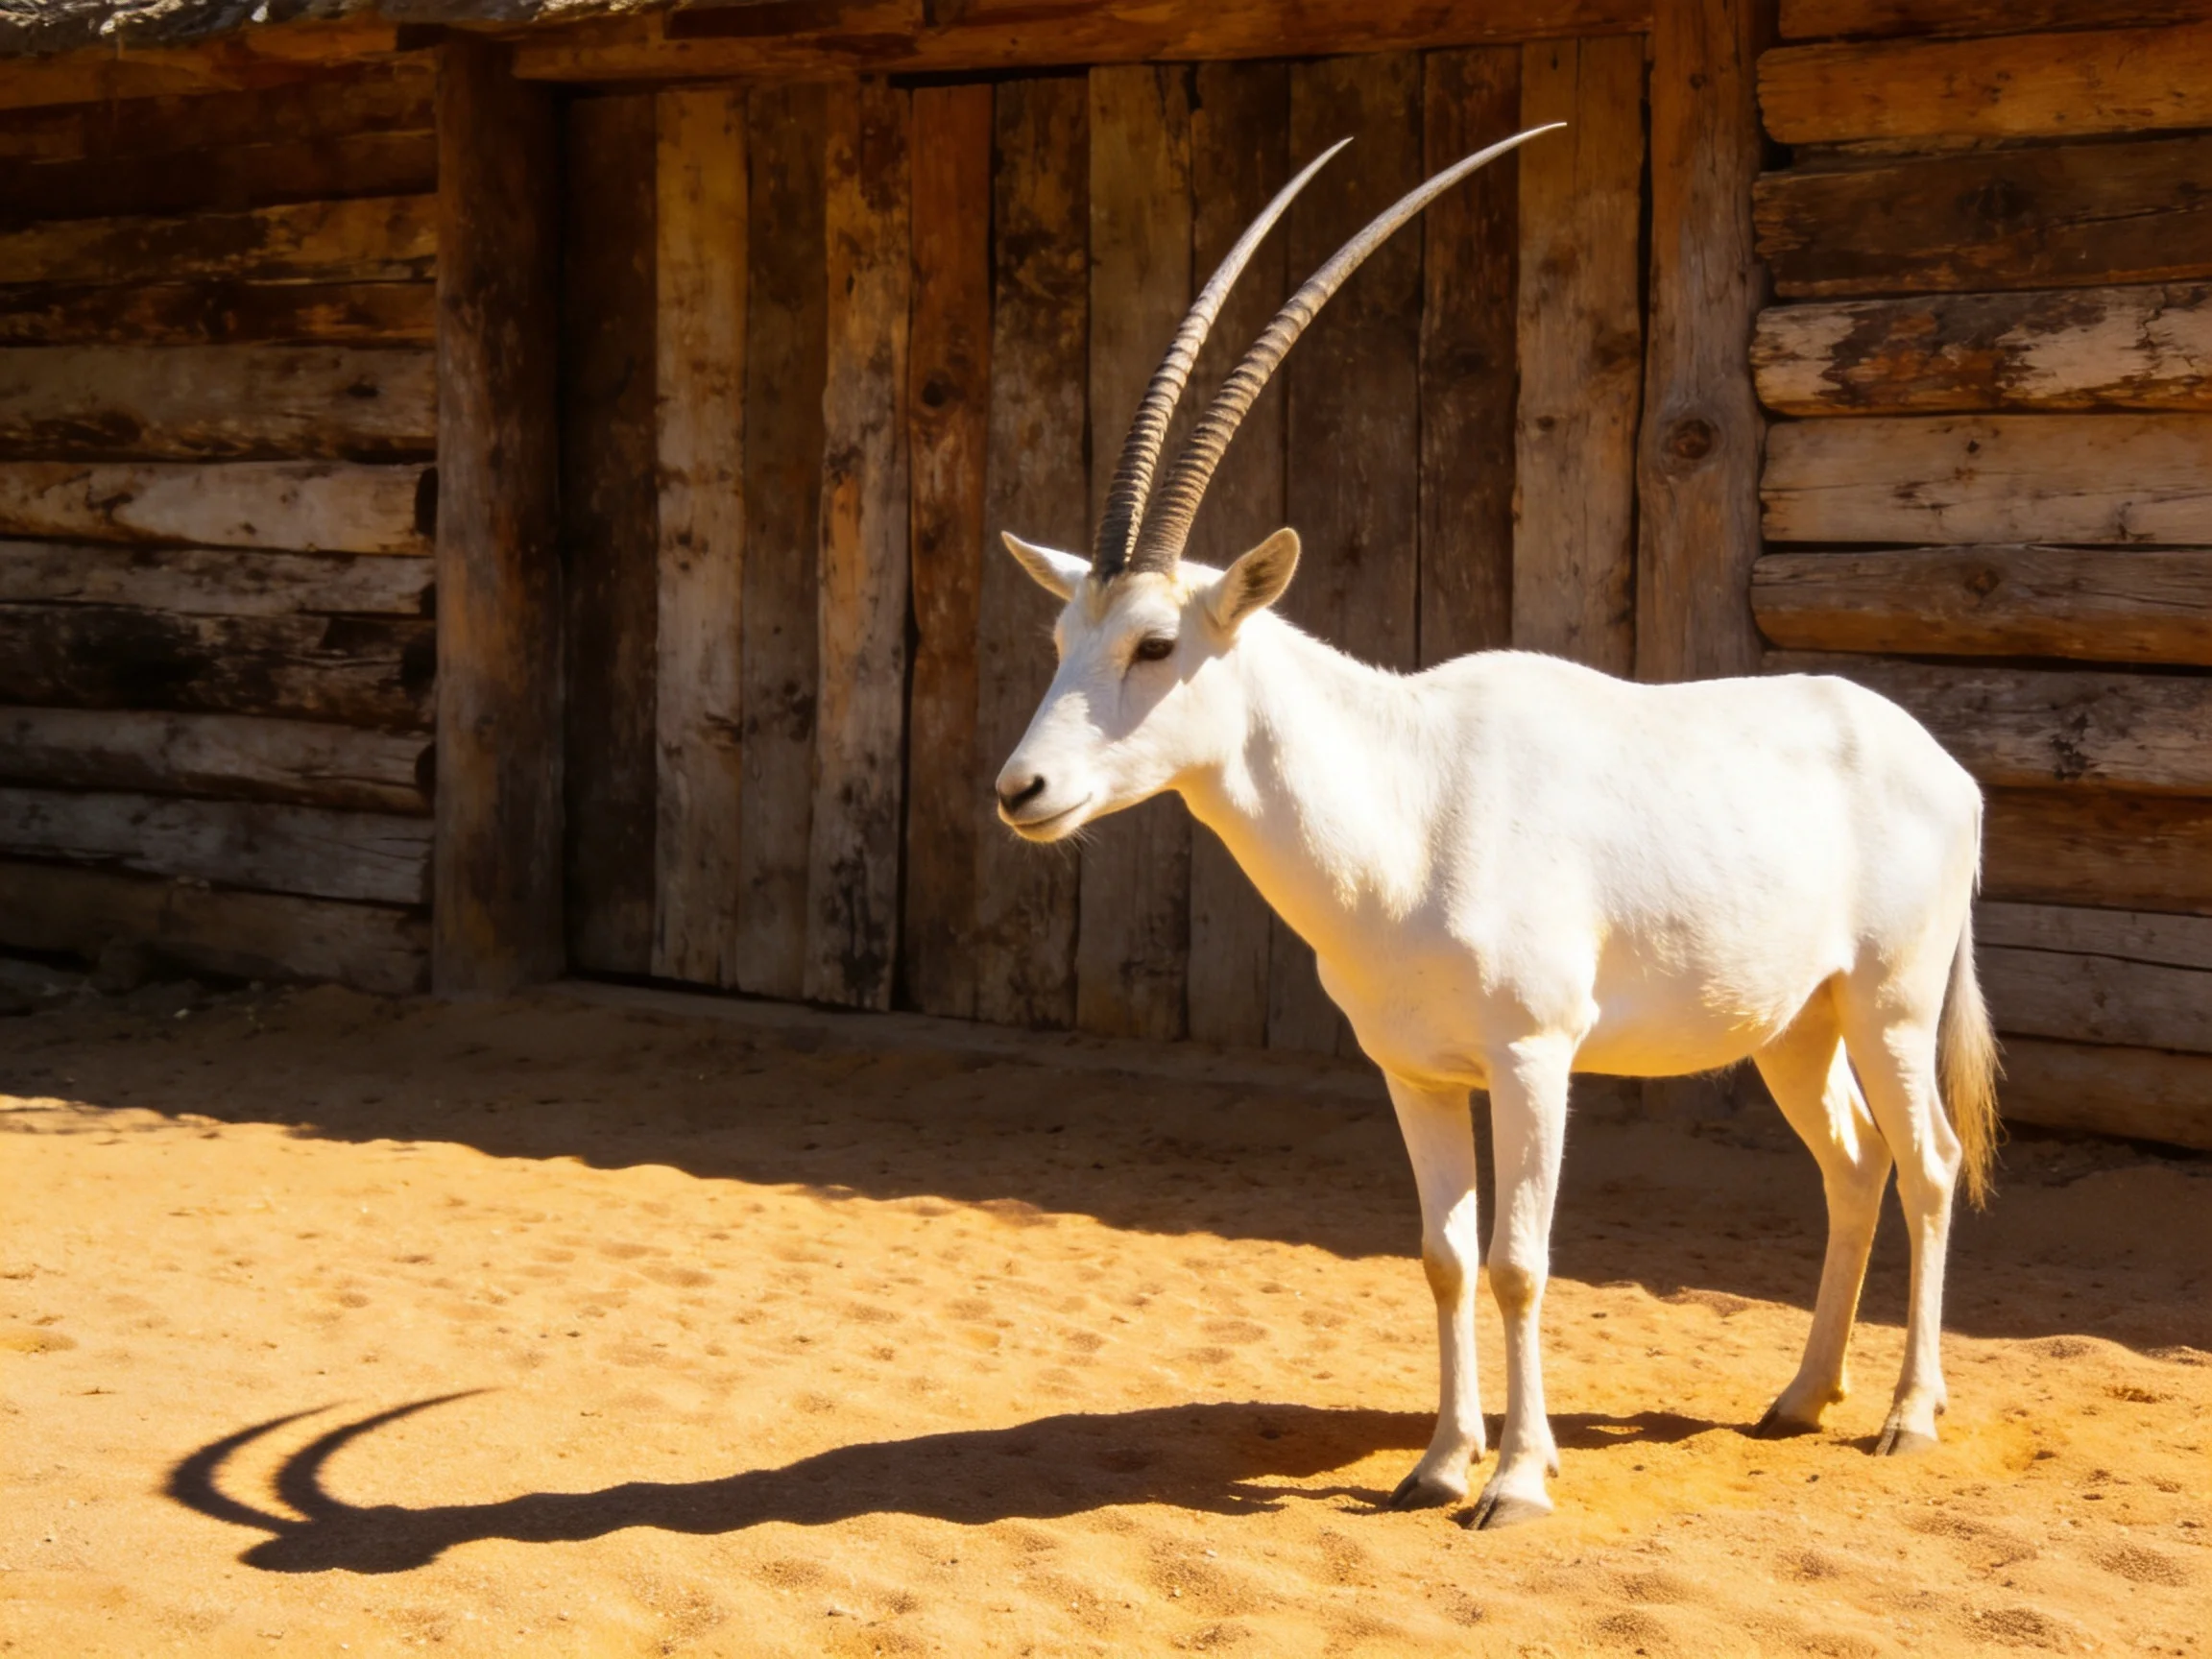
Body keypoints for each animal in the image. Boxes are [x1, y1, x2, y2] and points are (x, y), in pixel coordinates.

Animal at [992, 127, 2000, 1528]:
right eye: (1059, 637)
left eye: (1156, 644)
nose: (1022, 791)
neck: (1406, 798)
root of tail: (1938, 763)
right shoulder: (1416, 1073)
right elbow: (1443, 1255)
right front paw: (1435, 1463)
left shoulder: (1533, 1060)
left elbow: (1523, 1260)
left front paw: (1516, 1479)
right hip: (1797, 1025)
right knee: (1852, 1165)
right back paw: (1801, 1397)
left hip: (1890, 1004)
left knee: (1933, 1163)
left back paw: (1909, 1415)